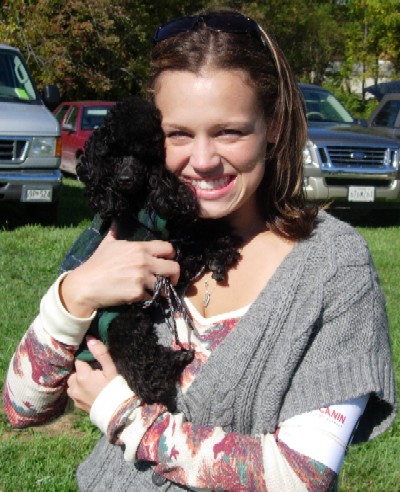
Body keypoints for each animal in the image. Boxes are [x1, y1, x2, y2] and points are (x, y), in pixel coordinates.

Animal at [77, 97, 240, 406]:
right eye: (113, 155)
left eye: (145, 157)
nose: (125, 179)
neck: (140, 204)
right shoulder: (173, 252)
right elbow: (198, 240)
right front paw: (221, 249)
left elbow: (201, 233)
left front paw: (220, 250)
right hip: (120, 320)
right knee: (138, 367)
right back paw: (174, 362)